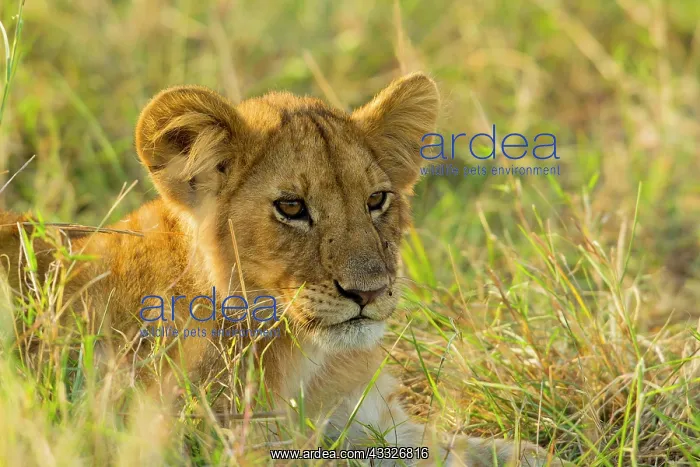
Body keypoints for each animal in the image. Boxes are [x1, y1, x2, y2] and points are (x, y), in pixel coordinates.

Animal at [1, 73, 565, 466]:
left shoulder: (371, 423)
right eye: (291, 207)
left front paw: (538, 452)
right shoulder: (212, 443)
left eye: (376, 200)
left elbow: (465, 449)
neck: (307, 363)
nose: (369, 291)